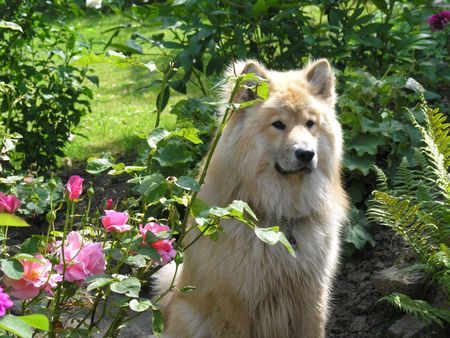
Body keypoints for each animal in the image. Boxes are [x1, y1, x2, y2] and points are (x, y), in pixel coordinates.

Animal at [156, 59, 350, 336]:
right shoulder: (236, 304)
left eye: (310, 123)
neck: (281, 218)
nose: (306, 154)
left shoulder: (312, 300)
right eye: (278, 124)